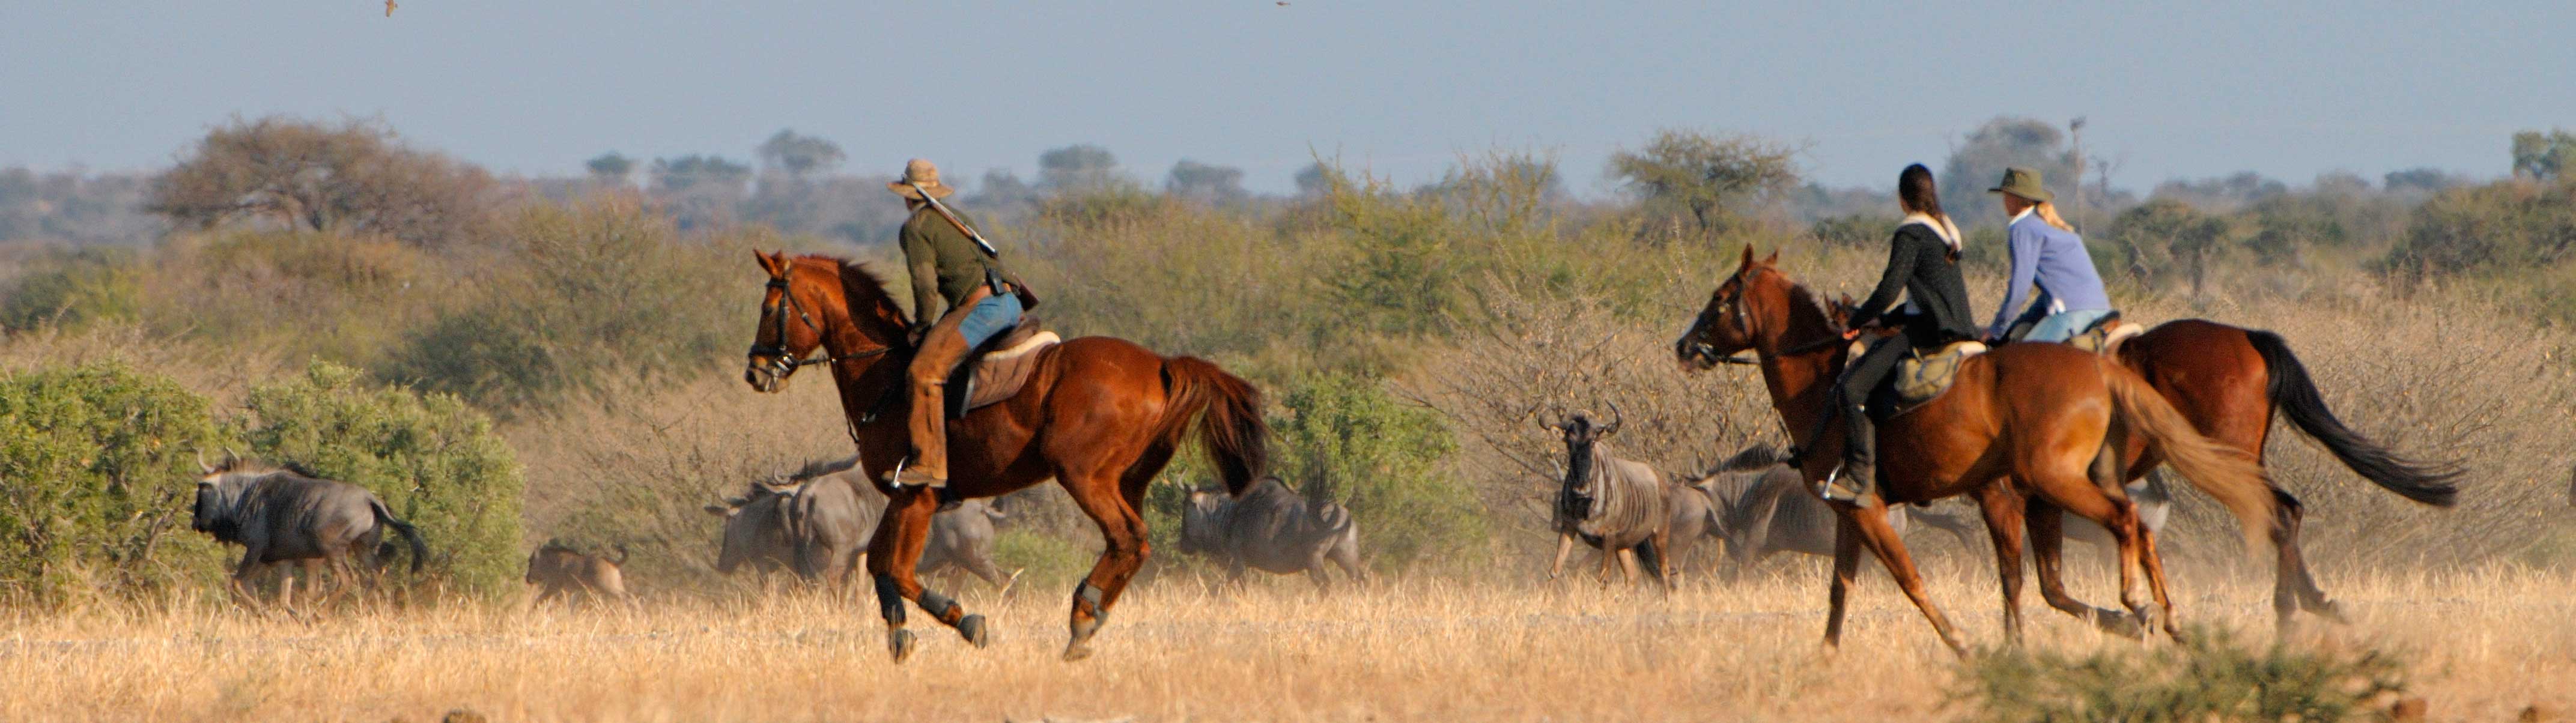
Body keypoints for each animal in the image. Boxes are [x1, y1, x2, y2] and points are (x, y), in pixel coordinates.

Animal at [742, 251, 1268, 662]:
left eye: (769, 308)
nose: (756, 372)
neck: (884, 375)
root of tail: (1161, 365)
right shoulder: (901, 498)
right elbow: (880, 569)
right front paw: (900, 639)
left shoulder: (918, 498)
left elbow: (900, 571)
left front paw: (964, 620)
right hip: (1128, 481)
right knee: (1133, 544)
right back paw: (1091, 618)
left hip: (1084, 477)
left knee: (1127, 537)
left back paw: (1082, 617)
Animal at [1670, 247, 2279, 652]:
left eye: (1720, 300)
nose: (1685, 346)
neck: (1825, 385)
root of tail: (2104, 372)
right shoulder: (1851, 512)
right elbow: (1840, 589)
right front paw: (1827, 655)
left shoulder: (1891, 509)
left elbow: (1915, 579)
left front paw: (1967, 643)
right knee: (2137, 530)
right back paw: (2164, 616)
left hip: (2060, 484)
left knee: (2130, 521)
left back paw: (2145, 604)